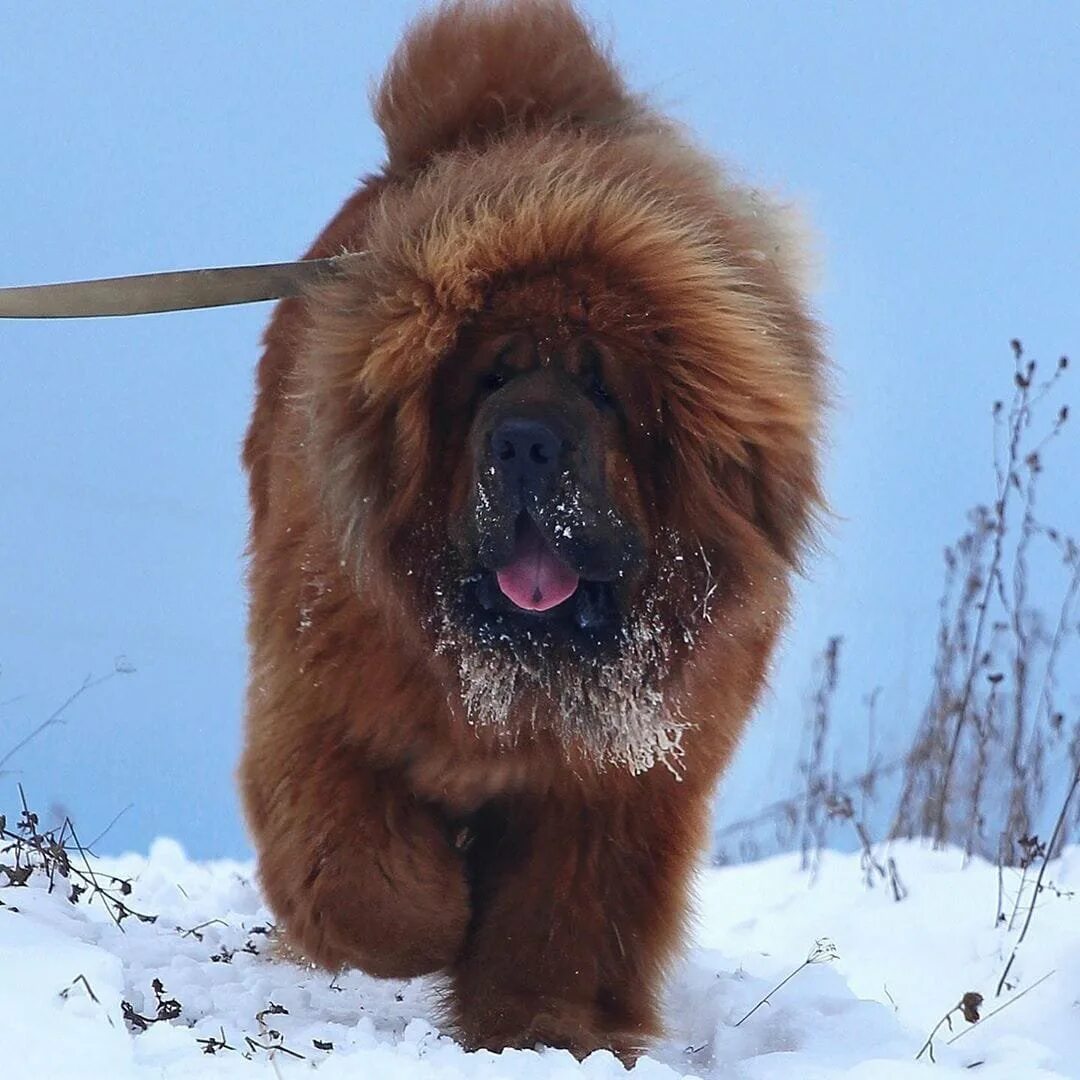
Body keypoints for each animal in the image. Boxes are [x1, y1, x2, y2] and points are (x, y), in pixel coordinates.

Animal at [238, 0, 825, 1062]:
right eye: (491, 379)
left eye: (603, 390)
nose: (524, 441)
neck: (519, 667)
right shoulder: (320, 706)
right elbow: (360, 872)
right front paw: (433, 921)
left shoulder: (613, 791)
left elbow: (564, 920)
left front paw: (541, 1031)